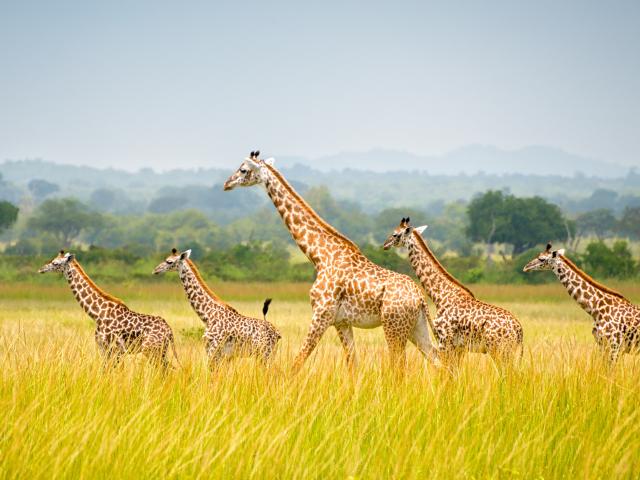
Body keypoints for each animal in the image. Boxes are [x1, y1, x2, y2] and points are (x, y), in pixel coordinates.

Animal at [38, 250, 179, 368]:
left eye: (55, 263)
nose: (41, 269)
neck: (97, 313)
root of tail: (169, 331)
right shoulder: (105, 348)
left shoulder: (112, 348)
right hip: (160, 350)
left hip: (151, 349)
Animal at [223, 151, 436, 371]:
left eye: (243, 169)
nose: (226, 184)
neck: (320, 256)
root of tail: (420, 298)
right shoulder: (341, 322)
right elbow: (352, 364)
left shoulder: (322, 313)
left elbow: (298, 361)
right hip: (415, 327)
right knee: (436, 359)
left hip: (394, 326)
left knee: (400, 366)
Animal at [383, 218, 523, 362]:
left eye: (395, 234)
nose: (385, 244)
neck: (439, 295)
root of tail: (519, 331)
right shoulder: (459, 348)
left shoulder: (445, 341)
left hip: (499, 350)